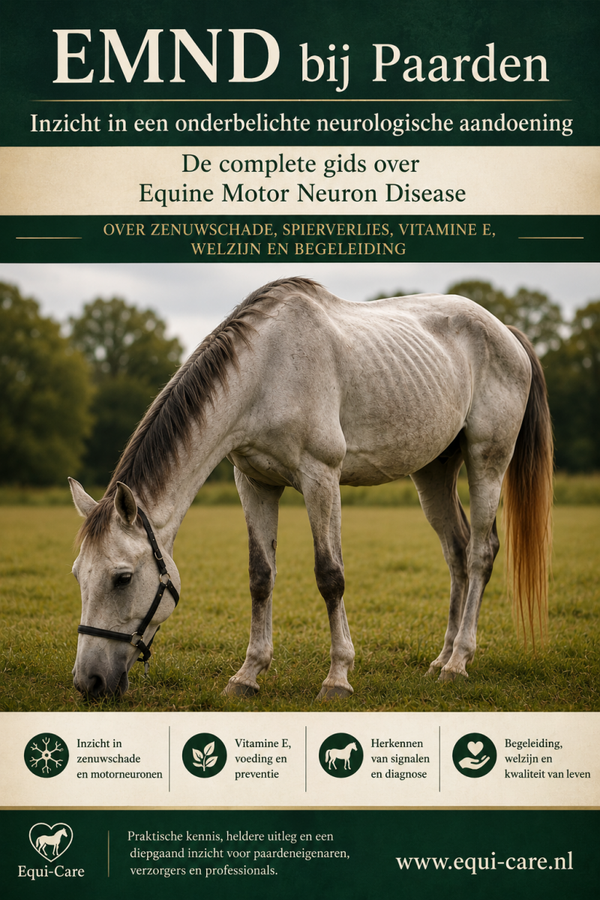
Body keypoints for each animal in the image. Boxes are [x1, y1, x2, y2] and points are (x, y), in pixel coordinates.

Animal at [69, 277, 553, 699]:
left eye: (122, 578)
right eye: (77, 575)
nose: (89, 682)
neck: (266, 370)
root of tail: (504, 331)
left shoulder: (321, 476)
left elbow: (329, 576)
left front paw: (337, 677)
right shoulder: (254, 483)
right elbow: (260, 577)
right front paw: (248, 674)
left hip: (488, 459)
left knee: (480, 553)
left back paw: (458, 662)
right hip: (433, 471)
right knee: (456, 550)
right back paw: (441, 658)